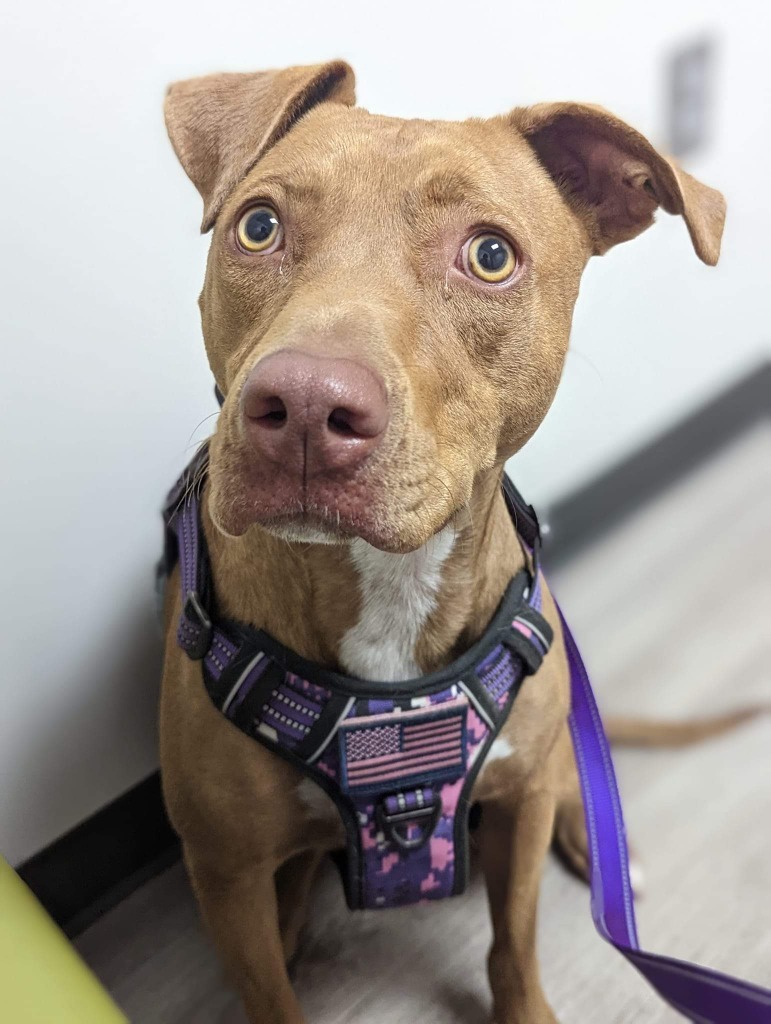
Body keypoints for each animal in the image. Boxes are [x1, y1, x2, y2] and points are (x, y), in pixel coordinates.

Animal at [159, 59, 724, 1019]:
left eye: (490, 255)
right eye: (258, 226)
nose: (302, 407)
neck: (389, 592)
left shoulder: (518, 808)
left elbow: (516, 941)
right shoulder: (224, 876)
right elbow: (268, 992)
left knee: (570, 773)